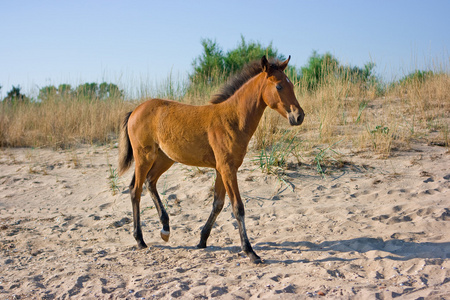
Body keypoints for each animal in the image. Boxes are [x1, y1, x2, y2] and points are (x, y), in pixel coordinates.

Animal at [118, 55, 304, 264]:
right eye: (279, 86)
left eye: (291, 85)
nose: (299, 116)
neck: (233, 119)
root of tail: (135, 110)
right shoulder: (227, 168)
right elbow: (238, 207)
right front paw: (250, 252)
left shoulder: (222, 169)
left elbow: (218, 204)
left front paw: (202, 240)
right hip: (144, 156)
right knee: (135, 189)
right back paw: (140, 239)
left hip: (165, 158)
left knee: (150, 182)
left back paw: (165, 229)